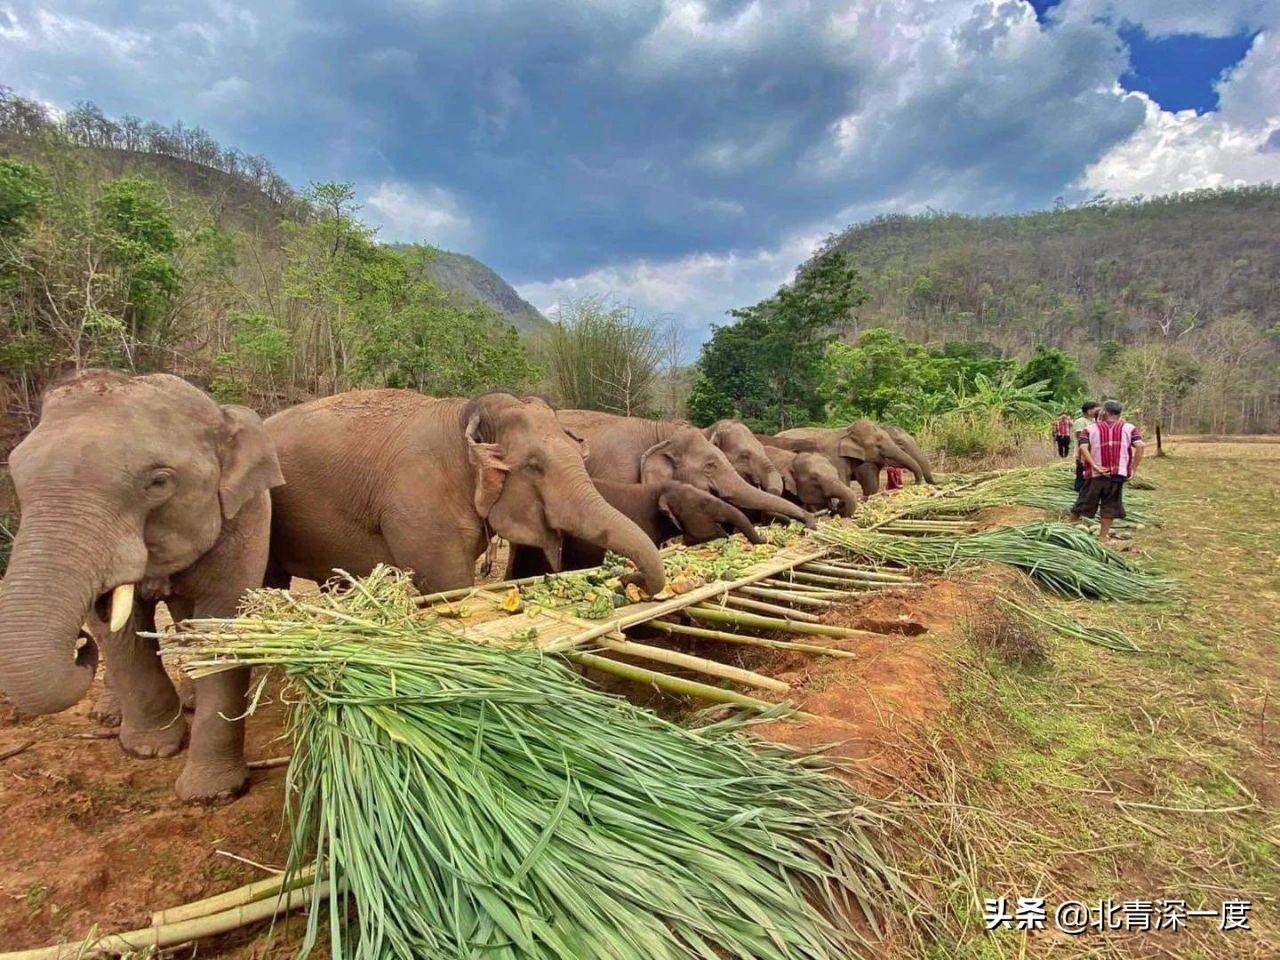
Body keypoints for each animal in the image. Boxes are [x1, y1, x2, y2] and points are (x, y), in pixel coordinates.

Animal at [0, 371, 282, 803]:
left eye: (159, 482)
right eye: (16, 478)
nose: (79, 646)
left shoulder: (246, 518)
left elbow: (218, 626)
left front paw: (210, 794)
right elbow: (123, 633)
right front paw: (151, 749)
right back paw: (110, 714)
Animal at [762, 419, 926, 496]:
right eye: (878, 446)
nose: (916, 483)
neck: (846, 431)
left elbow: (870, 482)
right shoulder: (836, 457)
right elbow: (847, 480)